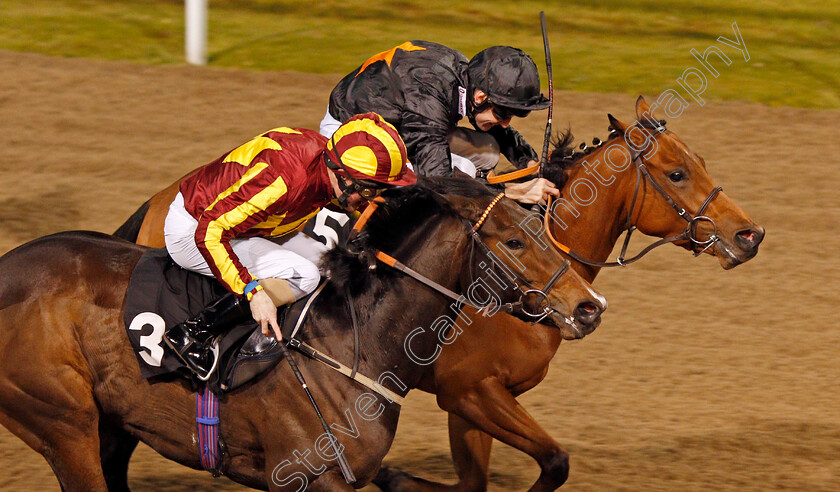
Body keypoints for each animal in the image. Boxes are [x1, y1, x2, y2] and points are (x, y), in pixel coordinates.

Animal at [0, 177, 604, 492]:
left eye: (543, 228)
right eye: (514, 242)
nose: (589, 308)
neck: (352, 345)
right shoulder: (309, 478)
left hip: (112, 425)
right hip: (63, 421)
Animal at [115, 97, 764, 488]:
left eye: (701, 160)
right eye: (677, 174)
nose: (750, 235)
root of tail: (157, 205)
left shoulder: (473, 402)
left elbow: (482, 479)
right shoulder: (470, 390)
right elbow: (553, 462)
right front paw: (394, 477)